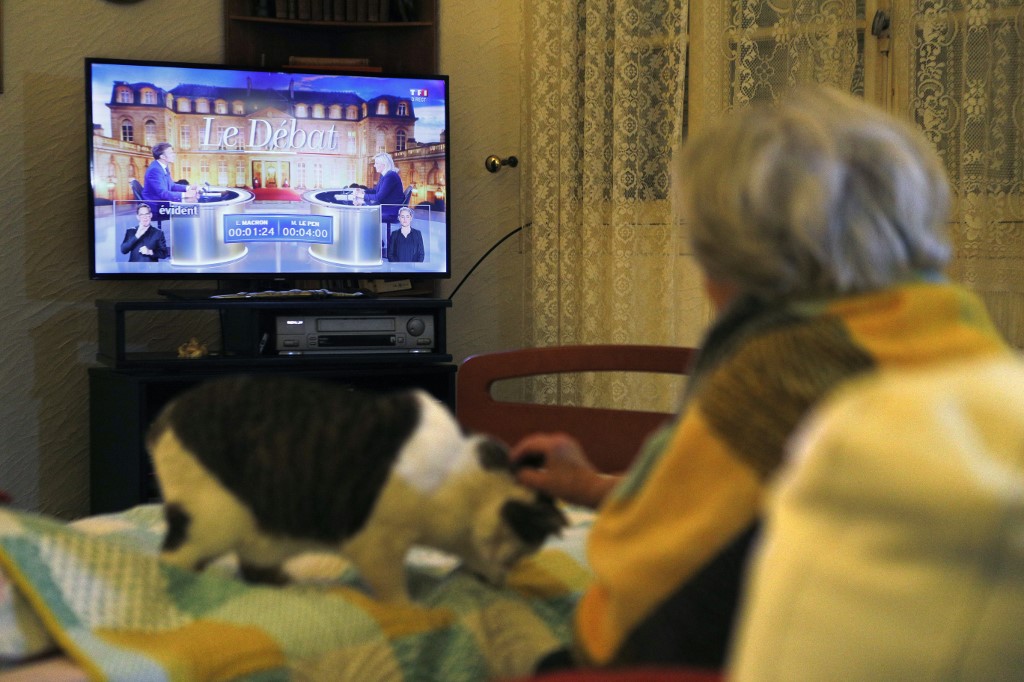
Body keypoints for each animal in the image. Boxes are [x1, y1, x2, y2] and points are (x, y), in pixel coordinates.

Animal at [144, 374, 565, 602]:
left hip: (262, 534)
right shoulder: (377, 542)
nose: (502, 582)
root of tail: (162, 420)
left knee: (253, 568)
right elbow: (393, 589)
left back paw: (289, 584)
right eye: (517, 554)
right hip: (212, 521)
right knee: (171, 558)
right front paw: (412, 610)